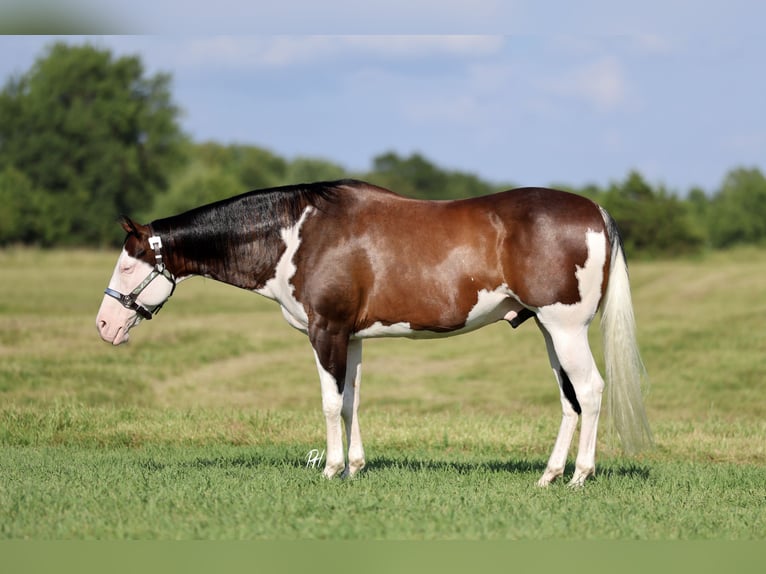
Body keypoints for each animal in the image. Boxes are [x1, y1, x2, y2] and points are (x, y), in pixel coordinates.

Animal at [96, 178, 652, 486]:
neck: (297, 233)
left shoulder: (326, 331)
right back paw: (549, 475)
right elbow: (350, 402)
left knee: (591, 391)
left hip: (566, 328)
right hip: (549, 331)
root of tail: (595, 211)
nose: (104, 325)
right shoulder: (354, 337)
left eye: (127, 265)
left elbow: (328, 403)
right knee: (570, 401)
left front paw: (330, 470)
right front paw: (355, 467)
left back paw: (580, 477)